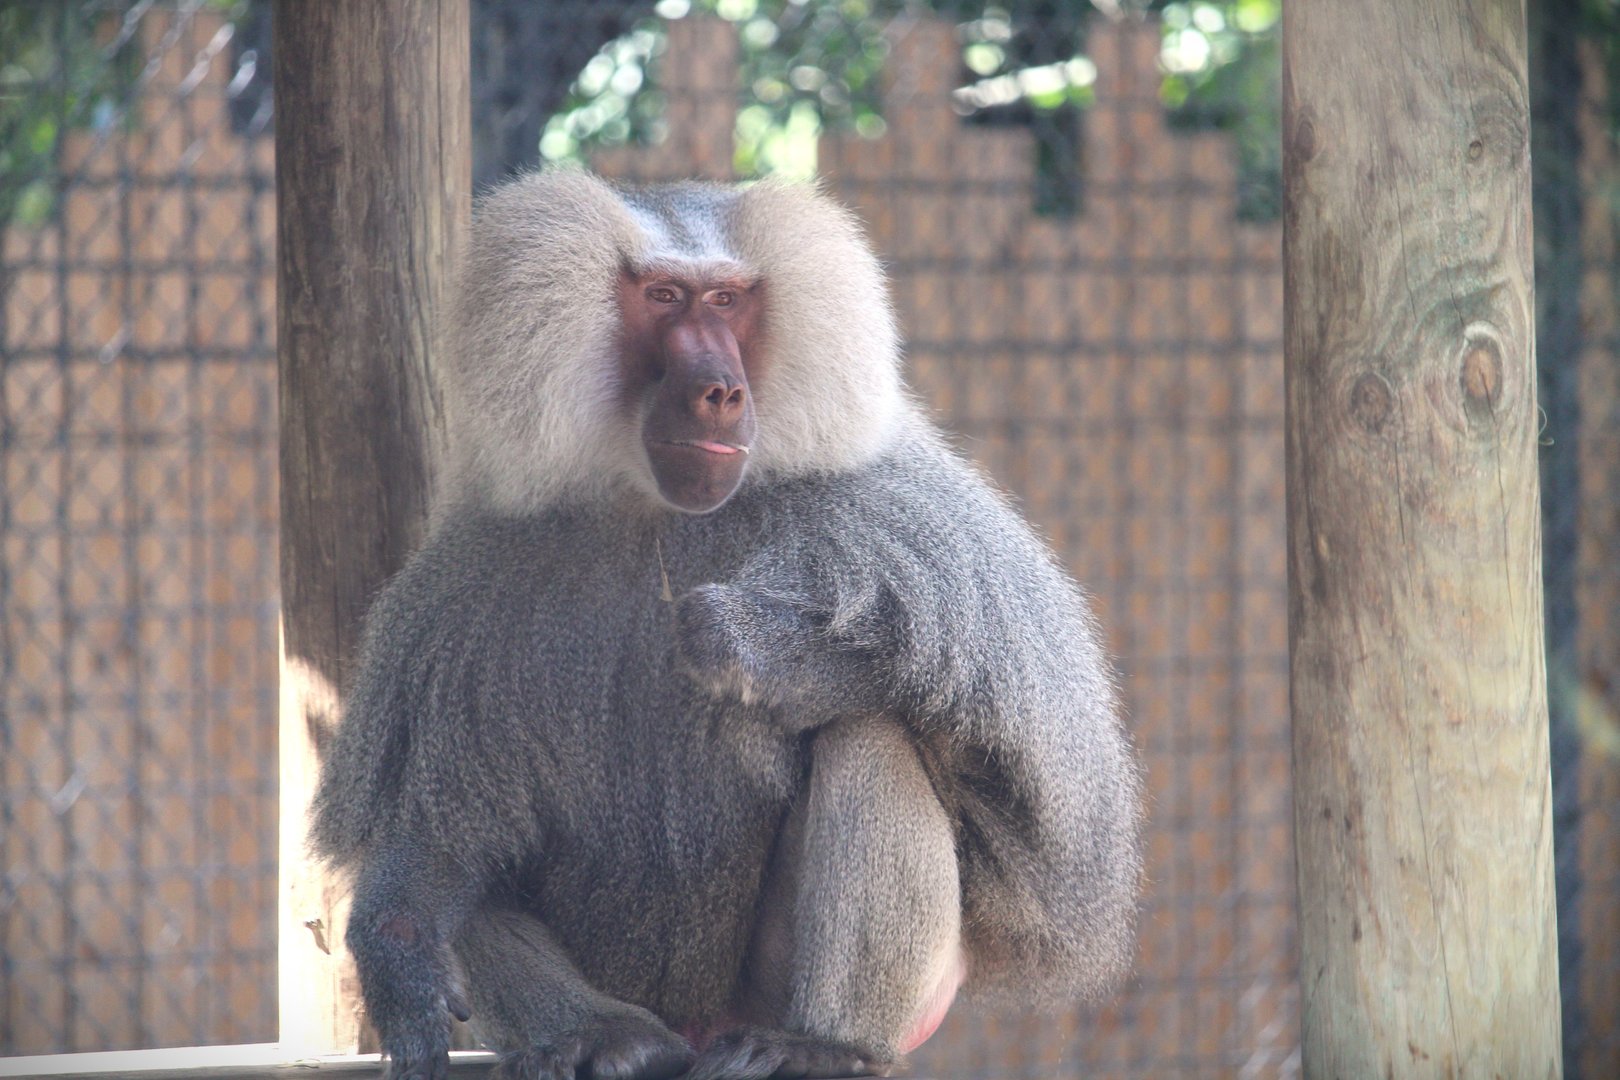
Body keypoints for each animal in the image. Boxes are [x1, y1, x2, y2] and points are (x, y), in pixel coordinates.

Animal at [310, 169, 1143, 1080]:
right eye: (664, 298)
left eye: (729, 300)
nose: (721, 391)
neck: (658, 514)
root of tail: (698, 1028)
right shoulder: (470, 581)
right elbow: (430, 831)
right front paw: (397, 955)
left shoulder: (911, 525)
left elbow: (1034, 810)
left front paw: (741, 643)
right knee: (478, 862)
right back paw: (603, 1038)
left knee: (869, 738)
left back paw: (820, 1045)